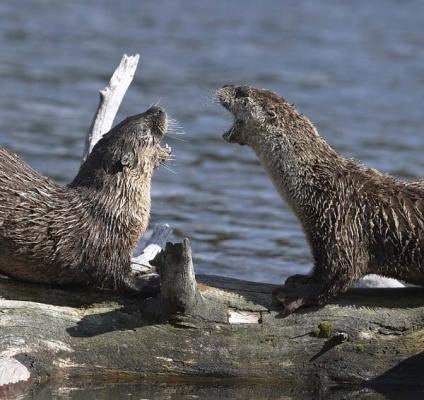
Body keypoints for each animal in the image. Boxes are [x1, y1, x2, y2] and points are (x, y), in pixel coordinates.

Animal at [0, 105, 170, 294]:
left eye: (128, 116)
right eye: (144, 131)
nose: (158, 109)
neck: (116, 205)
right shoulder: (108, 245)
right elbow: (117, 276)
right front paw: (152, 283)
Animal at [217, 85, 424, 316]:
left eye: (242, 92)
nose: (223, 87)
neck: (317, 182)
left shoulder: (342, 225)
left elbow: (338, 273)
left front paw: (293, 296)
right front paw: (300, 279)